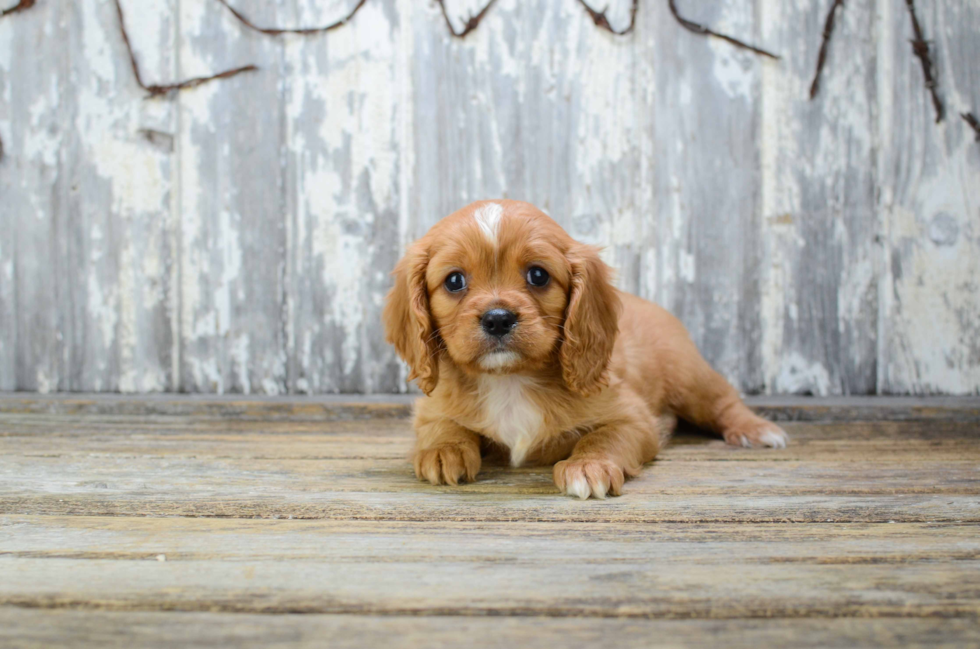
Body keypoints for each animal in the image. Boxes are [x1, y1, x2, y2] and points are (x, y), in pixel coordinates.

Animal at [384, 200, 788, 498]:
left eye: (538, 275)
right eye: (454, 281)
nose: (498, 319)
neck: (510, 380)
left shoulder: (633, 417)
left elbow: (603, 436)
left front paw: (587, 466)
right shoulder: (432, 405)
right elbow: (442, 424)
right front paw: (444, 451)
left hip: (691, 379)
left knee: (723, 402)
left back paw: (756, 431)